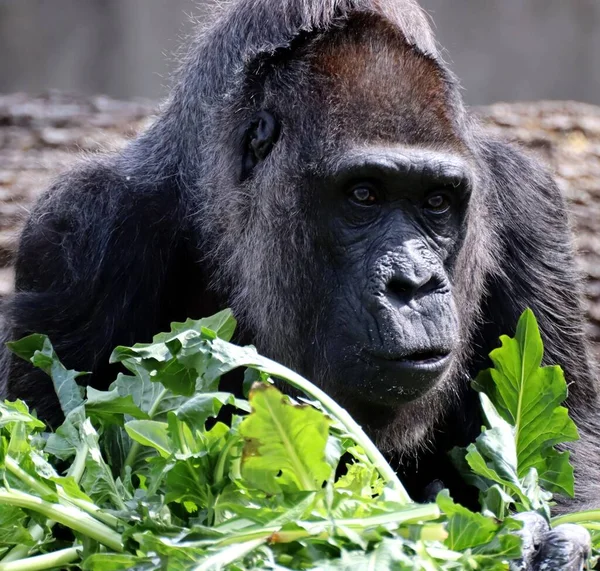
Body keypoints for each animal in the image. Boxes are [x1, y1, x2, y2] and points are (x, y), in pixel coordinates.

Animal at [1, 0, 600, 568]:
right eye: (363, 195)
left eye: (436, 201)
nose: (415, 282)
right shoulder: (79, 231)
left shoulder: (530, 204)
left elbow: (574, 448)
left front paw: (550, 543)